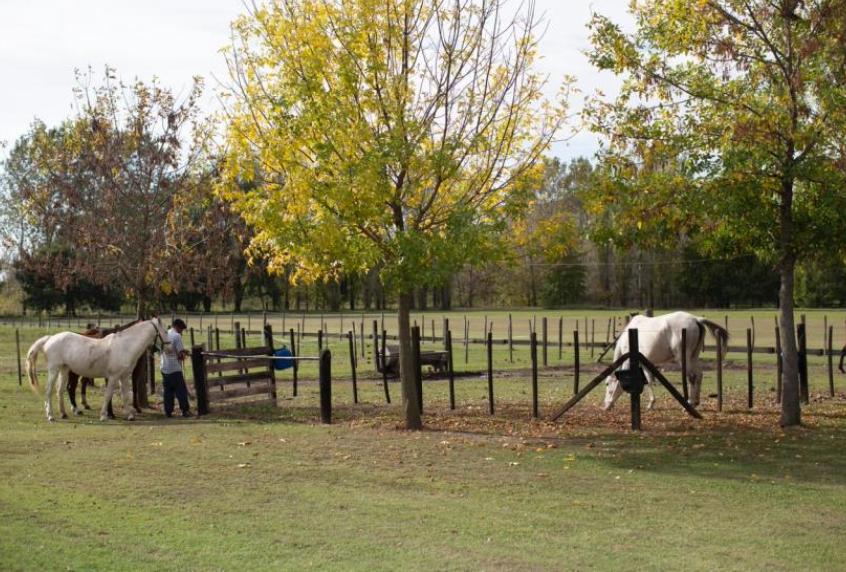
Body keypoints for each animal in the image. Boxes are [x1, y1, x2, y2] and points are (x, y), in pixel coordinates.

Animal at [26, 318, 171, 420]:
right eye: (164, 331)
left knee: (60, 390)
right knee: (49, 391)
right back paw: (51, 415)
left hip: (64, 370)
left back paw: (64, 413)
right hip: (54, 370)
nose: (170, 348)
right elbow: (108, 395)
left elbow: (125, 395)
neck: (125, 345)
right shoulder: (113, 377)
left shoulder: (124, 377)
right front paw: (104, 415)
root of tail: (50, 338)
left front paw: (130, 415)